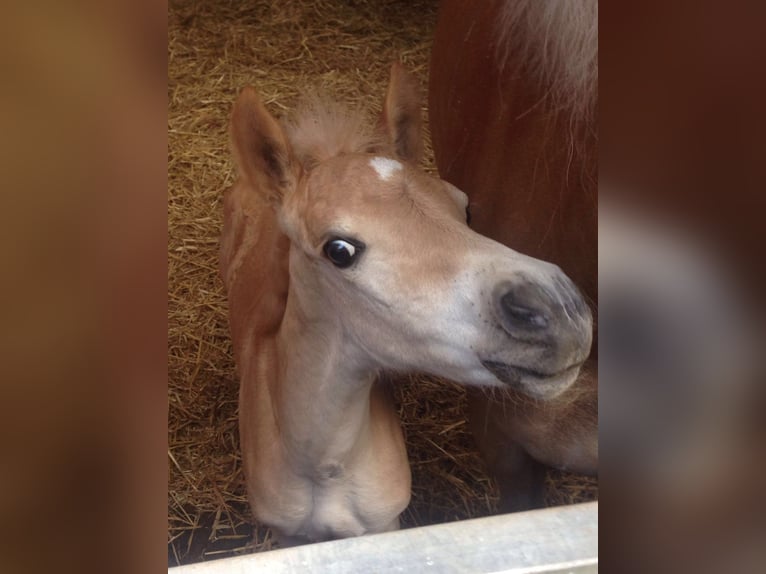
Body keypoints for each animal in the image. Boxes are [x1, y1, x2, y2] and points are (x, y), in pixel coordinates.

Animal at [222, 64, 592, 544]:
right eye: (339, 250)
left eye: (465, 208)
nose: (558, 310)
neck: (323, 466)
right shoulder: (286, 535)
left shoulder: (384, 525)